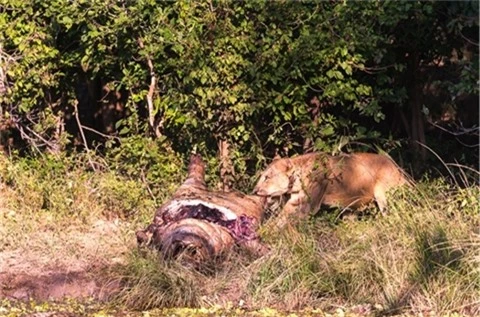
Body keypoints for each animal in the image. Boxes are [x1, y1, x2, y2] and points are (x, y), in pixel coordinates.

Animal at [253, 152, 410, 225]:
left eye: (267, 177)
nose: (254, 191)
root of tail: (398, 168)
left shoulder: (306, 205)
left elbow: (282, 221)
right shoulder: (296, 200)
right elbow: (280, 218)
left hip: (383, 196)